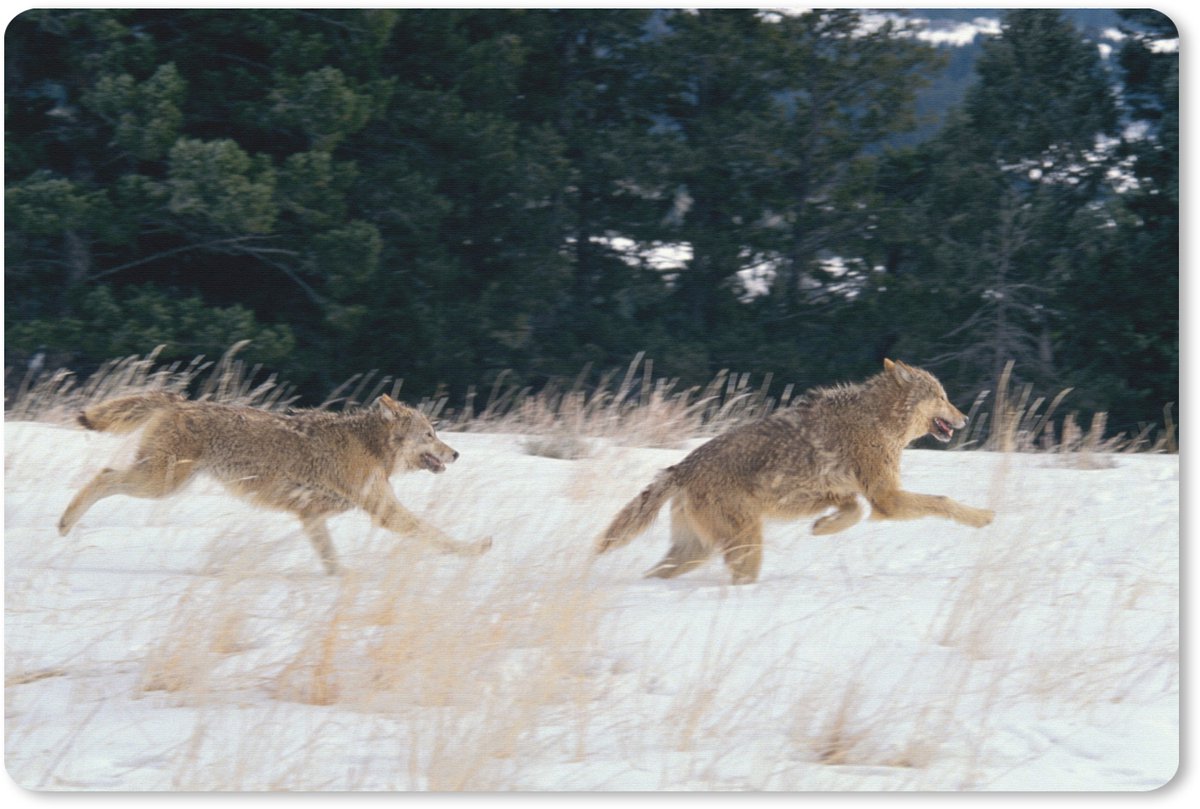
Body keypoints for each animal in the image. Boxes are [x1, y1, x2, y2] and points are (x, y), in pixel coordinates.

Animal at [57, 391, 491, 574]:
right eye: (430, 434)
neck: (369, 445)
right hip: (160, 483)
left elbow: (331, 560)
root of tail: (177, 401)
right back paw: (64, 524)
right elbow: (436, 535)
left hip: (162, 481)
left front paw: (343, 580)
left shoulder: (311, 517)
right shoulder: (385, 511)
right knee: (103, 476)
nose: (457, 454)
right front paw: (475, 549)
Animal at [595, 359, 994, 584]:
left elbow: (852, 509)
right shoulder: (887, 498)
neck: (878, 420)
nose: (965, 418)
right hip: (744, 547)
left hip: (695, 551)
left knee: (655, 573)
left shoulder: (842, 494)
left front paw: (823, 527)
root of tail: (680, 467)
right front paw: (983, 518)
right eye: (942, 397)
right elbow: (943, 501)